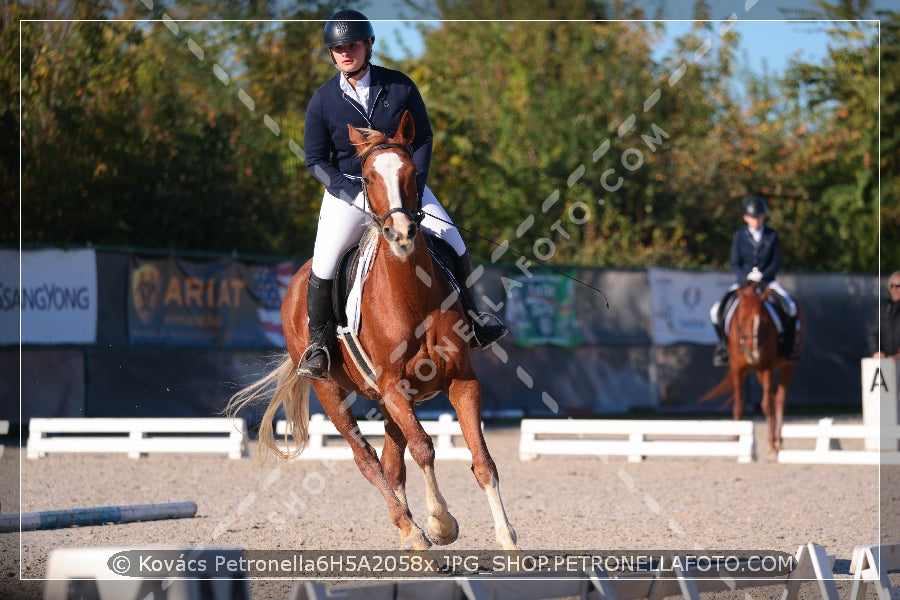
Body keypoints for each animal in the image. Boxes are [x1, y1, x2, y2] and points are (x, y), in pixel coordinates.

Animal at [227, 110, 520, 552]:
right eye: (365, 178)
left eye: (412, 172)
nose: (400, 233)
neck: (412, 296)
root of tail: (294, 283)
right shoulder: (393, 387)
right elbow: (424, 448)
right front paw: (440, 524)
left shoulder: (460, 380)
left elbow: (481, 459)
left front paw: (508, 539)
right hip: (331, 392)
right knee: (367, 459)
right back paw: (414, 534)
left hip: (387, 401)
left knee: (391, 461)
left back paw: (411, 536)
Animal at [704, 284, 800, 458]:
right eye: (741, 321)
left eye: (765, 322)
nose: (754, 355)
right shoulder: (737, 367)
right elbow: (739, 404)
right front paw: (736, 440)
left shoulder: (767, 366)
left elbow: (767, 405)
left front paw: (771, 444)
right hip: (759, 372)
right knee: (773, 395)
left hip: (788, 366)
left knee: (779, 399)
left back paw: (777, 441)